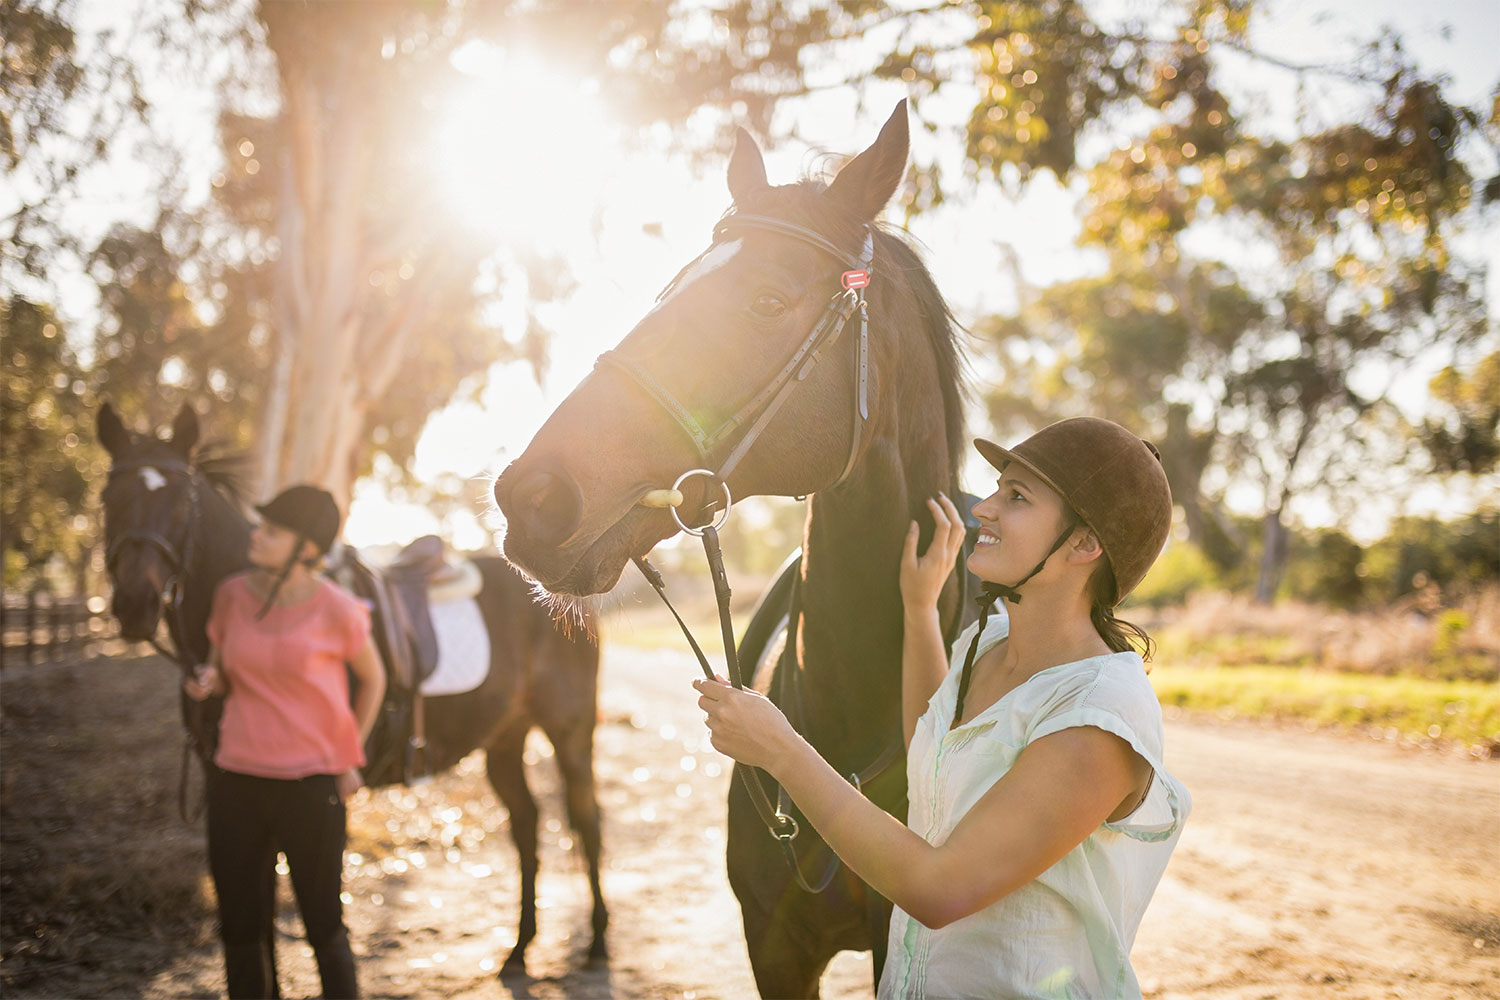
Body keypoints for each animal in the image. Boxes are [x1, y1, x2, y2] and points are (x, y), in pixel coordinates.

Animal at [95, 400, 608, 975]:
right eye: (109, 499)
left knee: (587, 821)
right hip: (504, 738)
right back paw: (520, 947)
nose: (134, 604)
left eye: (182, 502)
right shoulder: (231, 784)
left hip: (570, 732)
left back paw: (595, 942)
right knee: (526, 823)